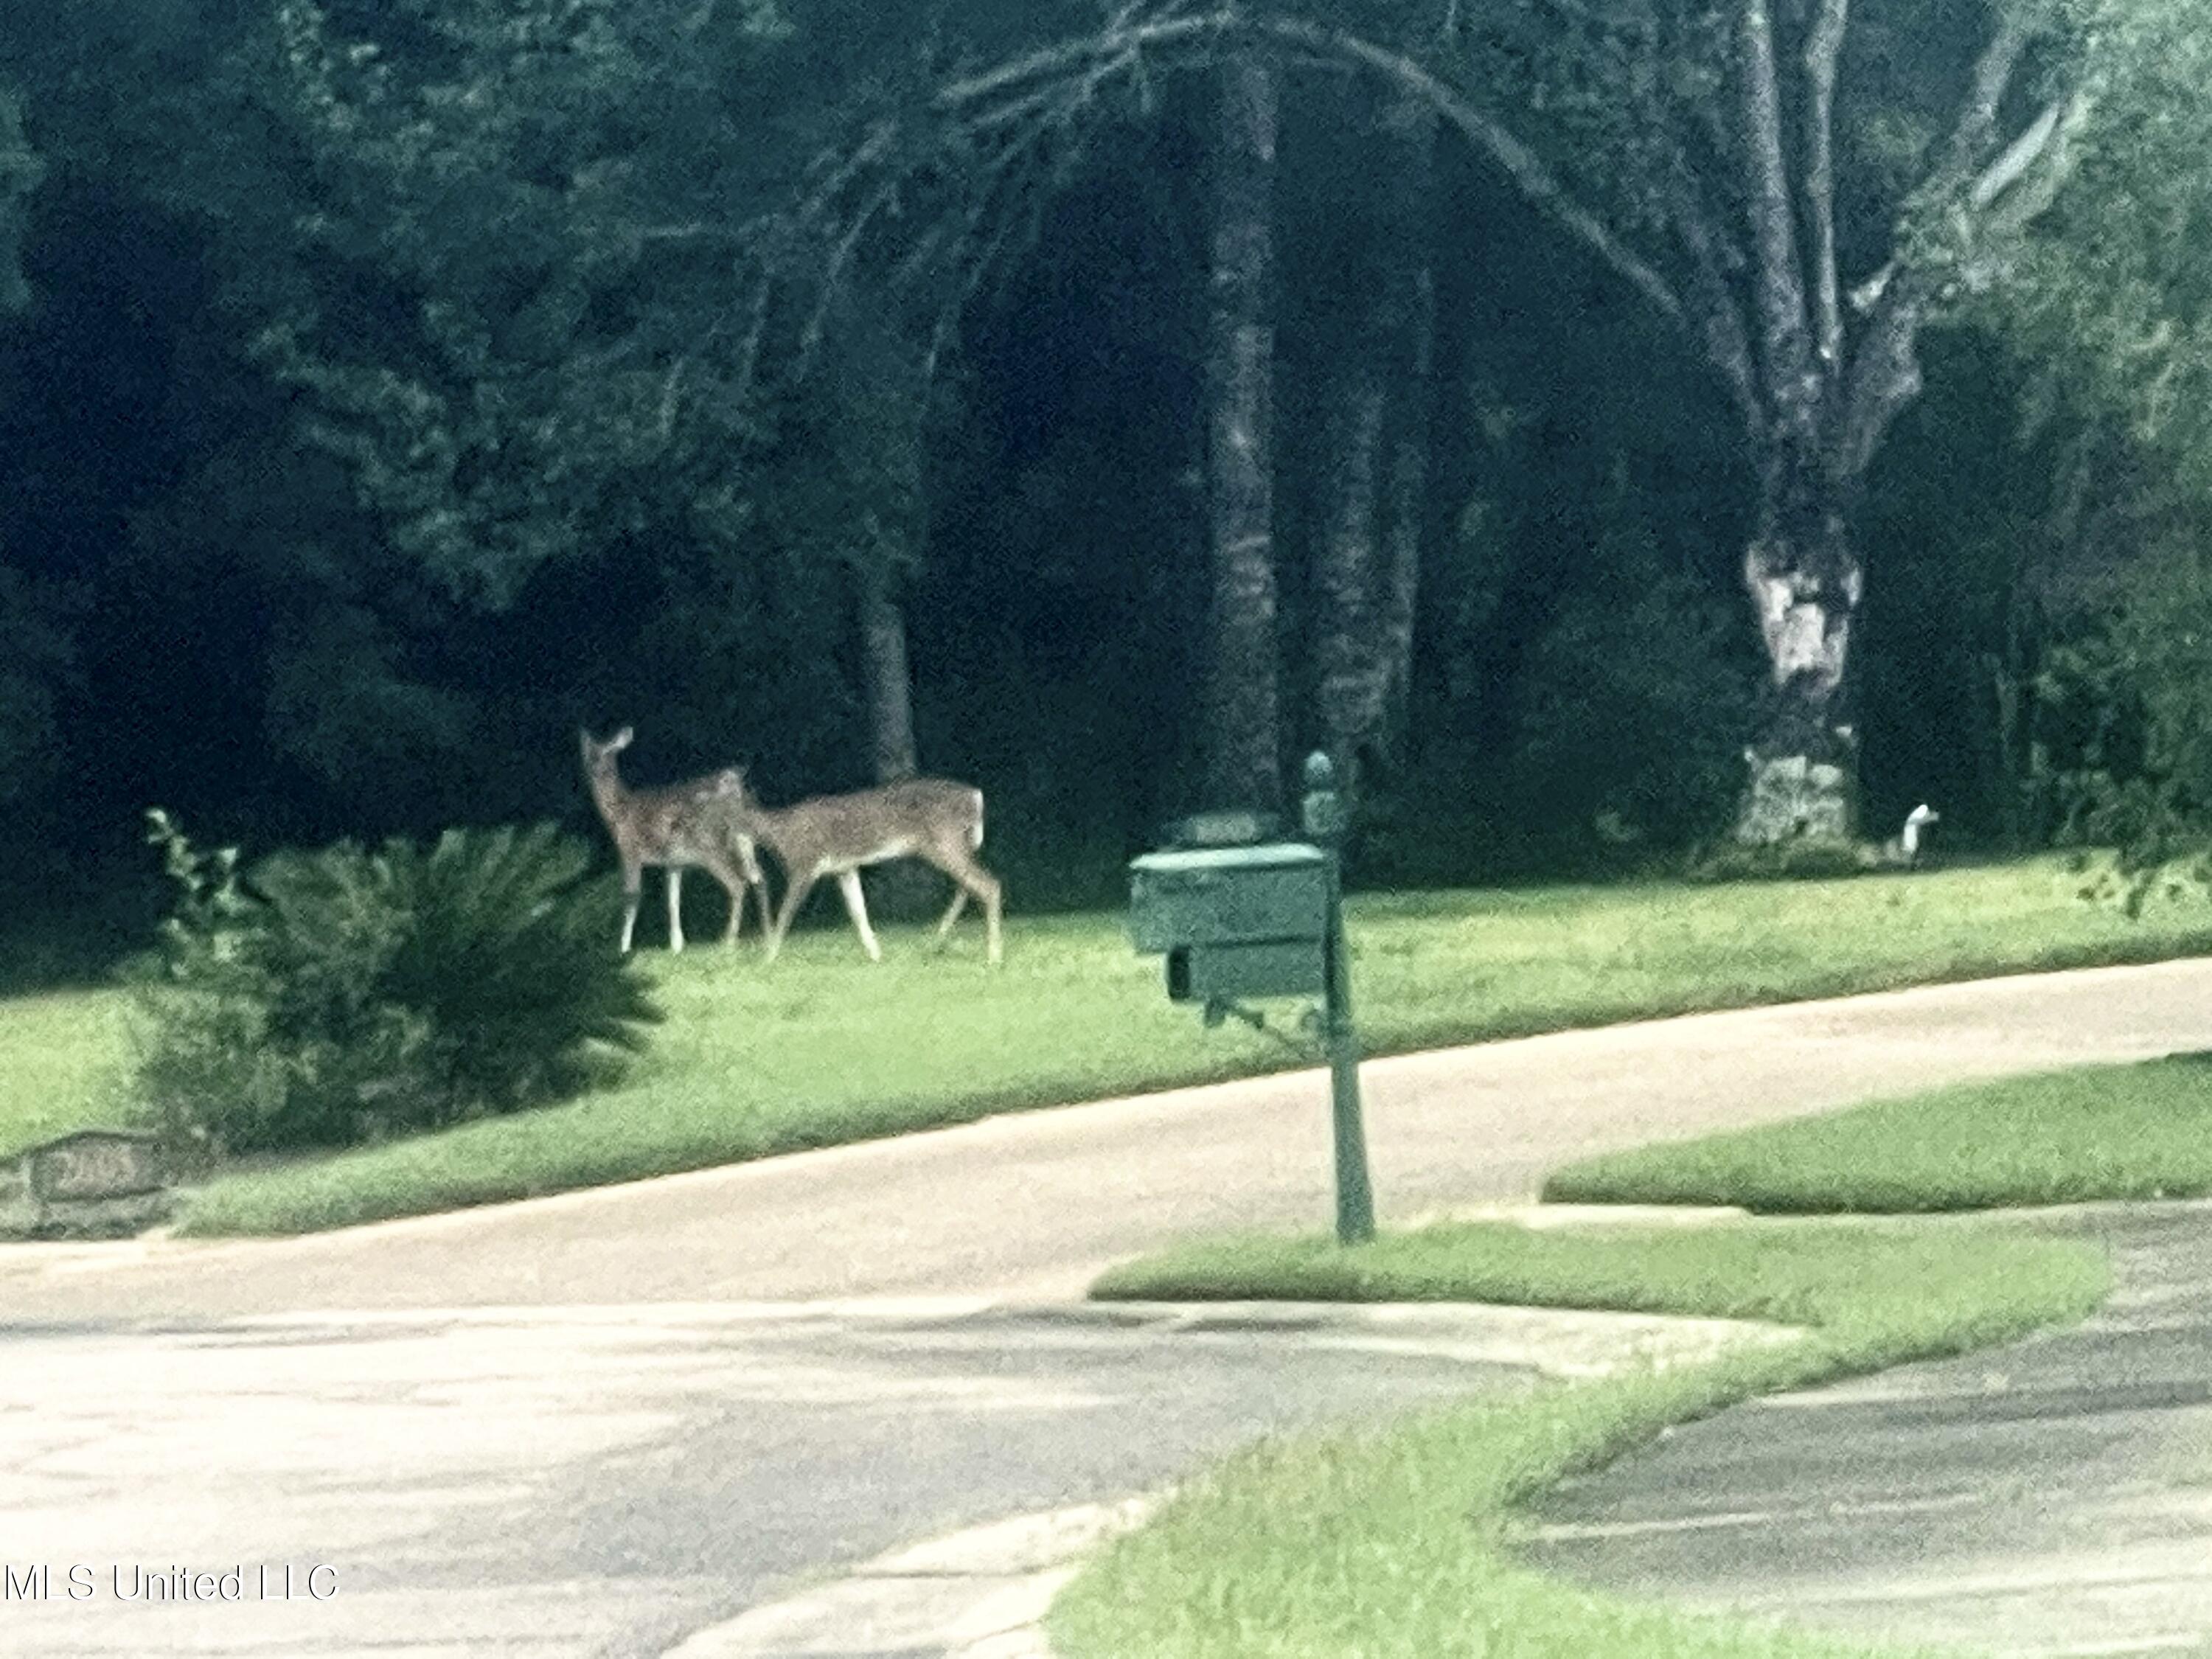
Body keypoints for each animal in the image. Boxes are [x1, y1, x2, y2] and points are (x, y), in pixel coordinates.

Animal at [580, 730, 770, 956]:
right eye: (590, 752)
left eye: (600, 753)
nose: (593, 769)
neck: (618, 813)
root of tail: (736, 786)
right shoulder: (674, 863)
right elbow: (673, 900)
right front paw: (677, 946)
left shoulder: (630, 852)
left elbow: (632, 898)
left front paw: (624, 948)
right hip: (745, 840)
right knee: (759, 877)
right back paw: (769, 934)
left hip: (710, 846)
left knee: (738, 883)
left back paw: (729, 941)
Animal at [726, 774, 1004, 969]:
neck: (779, 832)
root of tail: (975, 796)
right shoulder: (845, 868)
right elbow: (858, 911)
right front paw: (876, 955)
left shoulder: (804, 865)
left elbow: (785, 913)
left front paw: (768, 958)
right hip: (955, 844)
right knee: (970, 886)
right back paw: (938, 940)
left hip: (944, 840)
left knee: (987, 884)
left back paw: (993, 956)